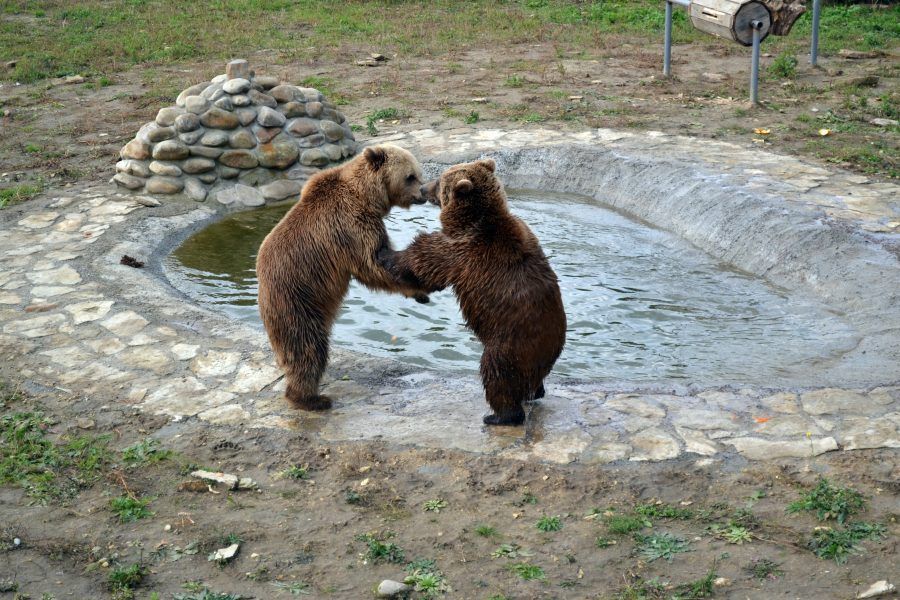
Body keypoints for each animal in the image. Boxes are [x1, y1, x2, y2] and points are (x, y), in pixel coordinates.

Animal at [256, 143, 428, 410]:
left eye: (418, 173)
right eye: (410, 176)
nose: (423, 192)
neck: (367, 195)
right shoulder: (350, 225)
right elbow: (375, 263)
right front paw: (419, 286)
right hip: (297, 300)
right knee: (307, 348)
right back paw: (312, 398)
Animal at [378, 157, 564, 424]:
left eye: (440, 181)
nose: (423, 188)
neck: (471, 220)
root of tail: (552, 346)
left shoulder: (463, 252)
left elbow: (424, 260)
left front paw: (387, 253)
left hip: (509, 344)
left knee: (497, 375)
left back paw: (499, 415)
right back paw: (535, 393)